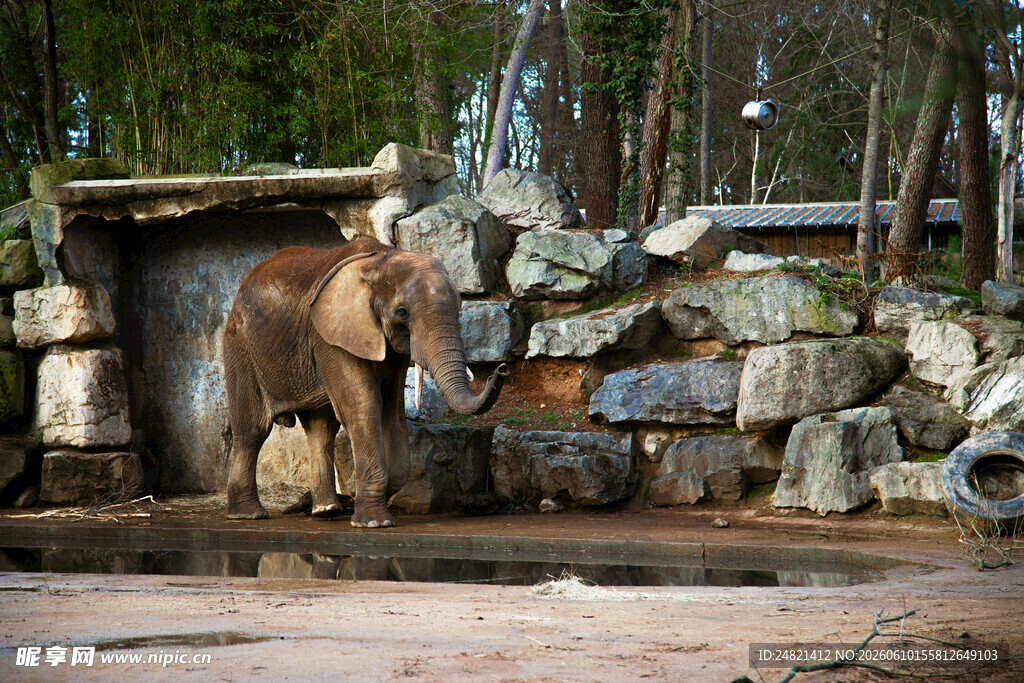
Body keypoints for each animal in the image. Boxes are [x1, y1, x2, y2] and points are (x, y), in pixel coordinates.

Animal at [223, 238, 509, 528]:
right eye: (402, 313)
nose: (502, 369)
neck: (382, 259)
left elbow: (392, 408)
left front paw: (373, 500)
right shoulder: (330, 335)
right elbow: (363, 406)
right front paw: (373, 523)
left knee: (321, 427)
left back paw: (326, 511)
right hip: (240, 345)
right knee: (253, 429)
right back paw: (248, 514)